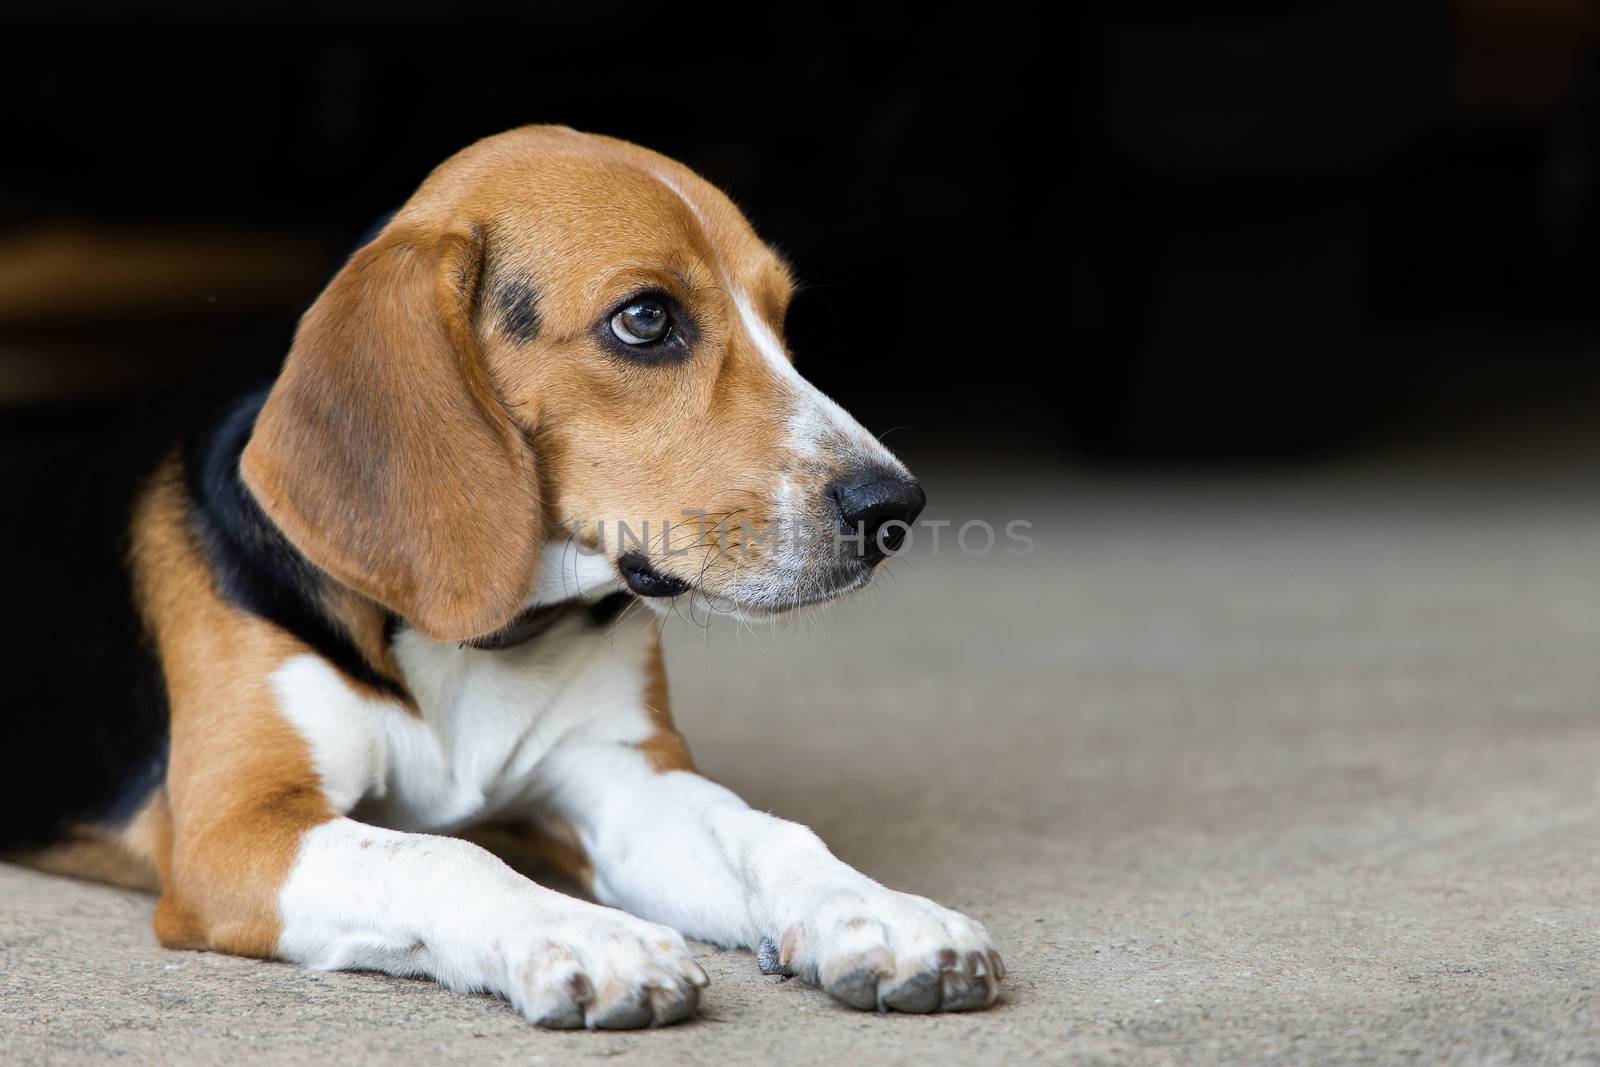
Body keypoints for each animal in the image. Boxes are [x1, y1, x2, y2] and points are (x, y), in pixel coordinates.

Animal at [0, 127, 1004, 1036]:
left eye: (784, 321)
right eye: (646, 319)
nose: (895, 506)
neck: (476, 637)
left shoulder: (623, 775)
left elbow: (770, 831)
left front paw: (882, 914)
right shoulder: (238, 829)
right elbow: (444, 858)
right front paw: (591, 936)